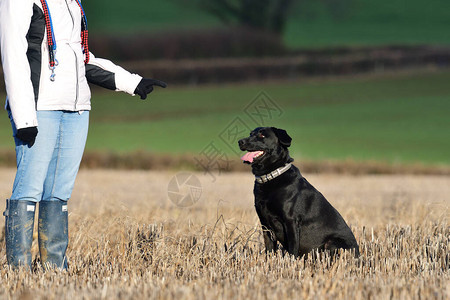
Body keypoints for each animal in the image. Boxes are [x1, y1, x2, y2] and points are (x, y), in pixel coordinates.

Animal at [239, 127, 358, 258]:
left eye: (262, 135)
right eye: (251, 134)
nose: (240, 141)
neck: (270, 176)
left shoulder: (291, 221)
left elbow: (292, 251)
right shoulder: (265, 224)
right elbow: (269, 251)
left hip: (331, 243)